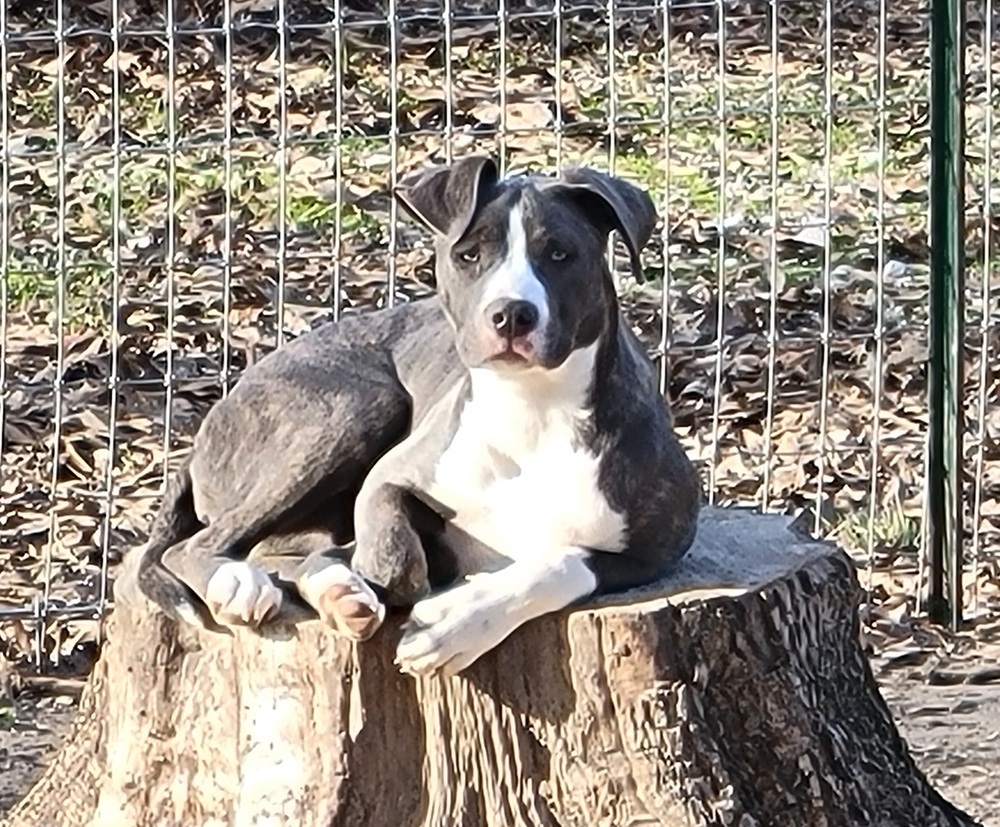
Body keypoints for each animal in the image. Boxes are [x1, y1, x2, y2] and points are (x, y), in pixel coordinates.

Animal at [133, 157, 700, 680]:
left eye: (561, 253)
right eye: (469, 255)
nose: (512, 314)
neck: (532, 409)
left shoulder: (653, 553)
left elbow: (558, 561)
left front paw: (459, 618)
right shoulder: (392, 475)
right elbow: (395, 554)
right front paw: (390, 582)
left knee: (278, 550)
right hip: (355, 410)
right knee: (198, 545)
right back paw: (244, 584)